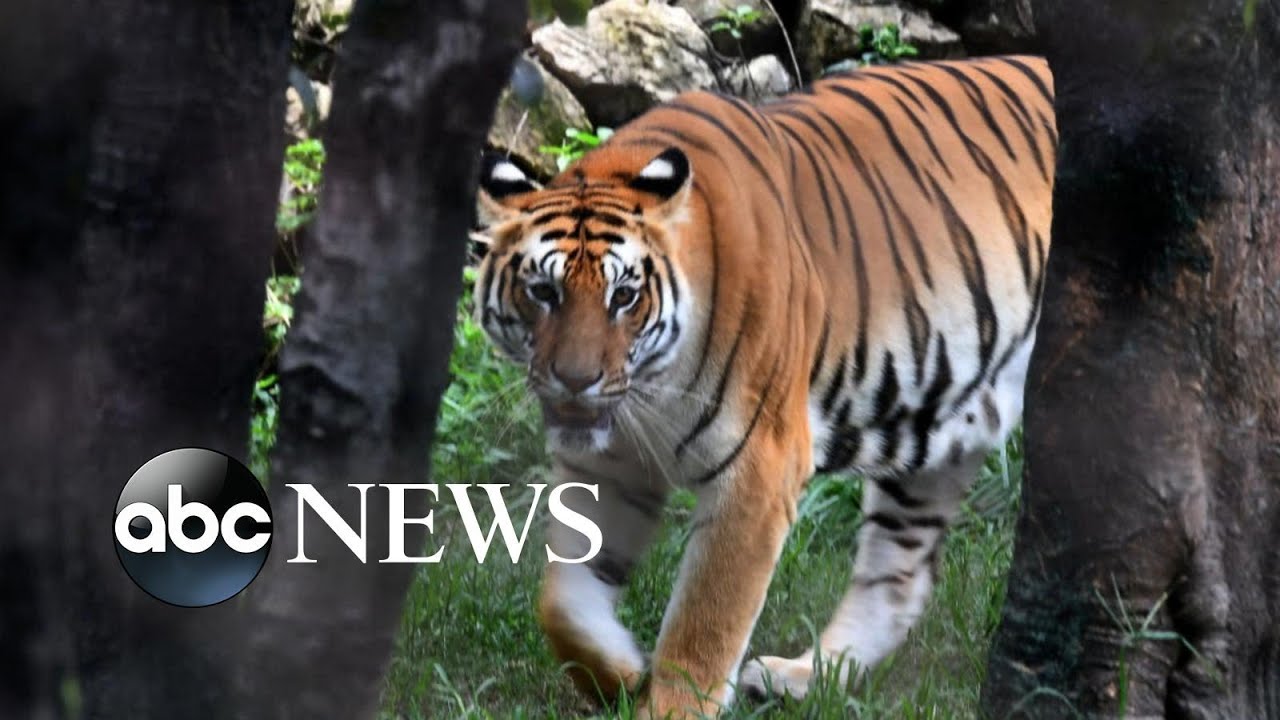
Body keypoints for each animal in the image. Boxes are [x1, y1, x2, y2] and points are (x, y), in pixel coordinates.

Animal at [472, 55, 1056, 717]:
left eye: (623, 296)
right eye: (543, 292)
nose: (576, 380)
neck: (650, 392)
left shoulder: (759, 467)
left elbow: (705, 622)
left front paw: (667, 706)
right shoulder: (606, 464)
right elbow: (563, 600)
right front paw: (618, 673)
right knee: (897, 579)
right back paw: (801, 678)